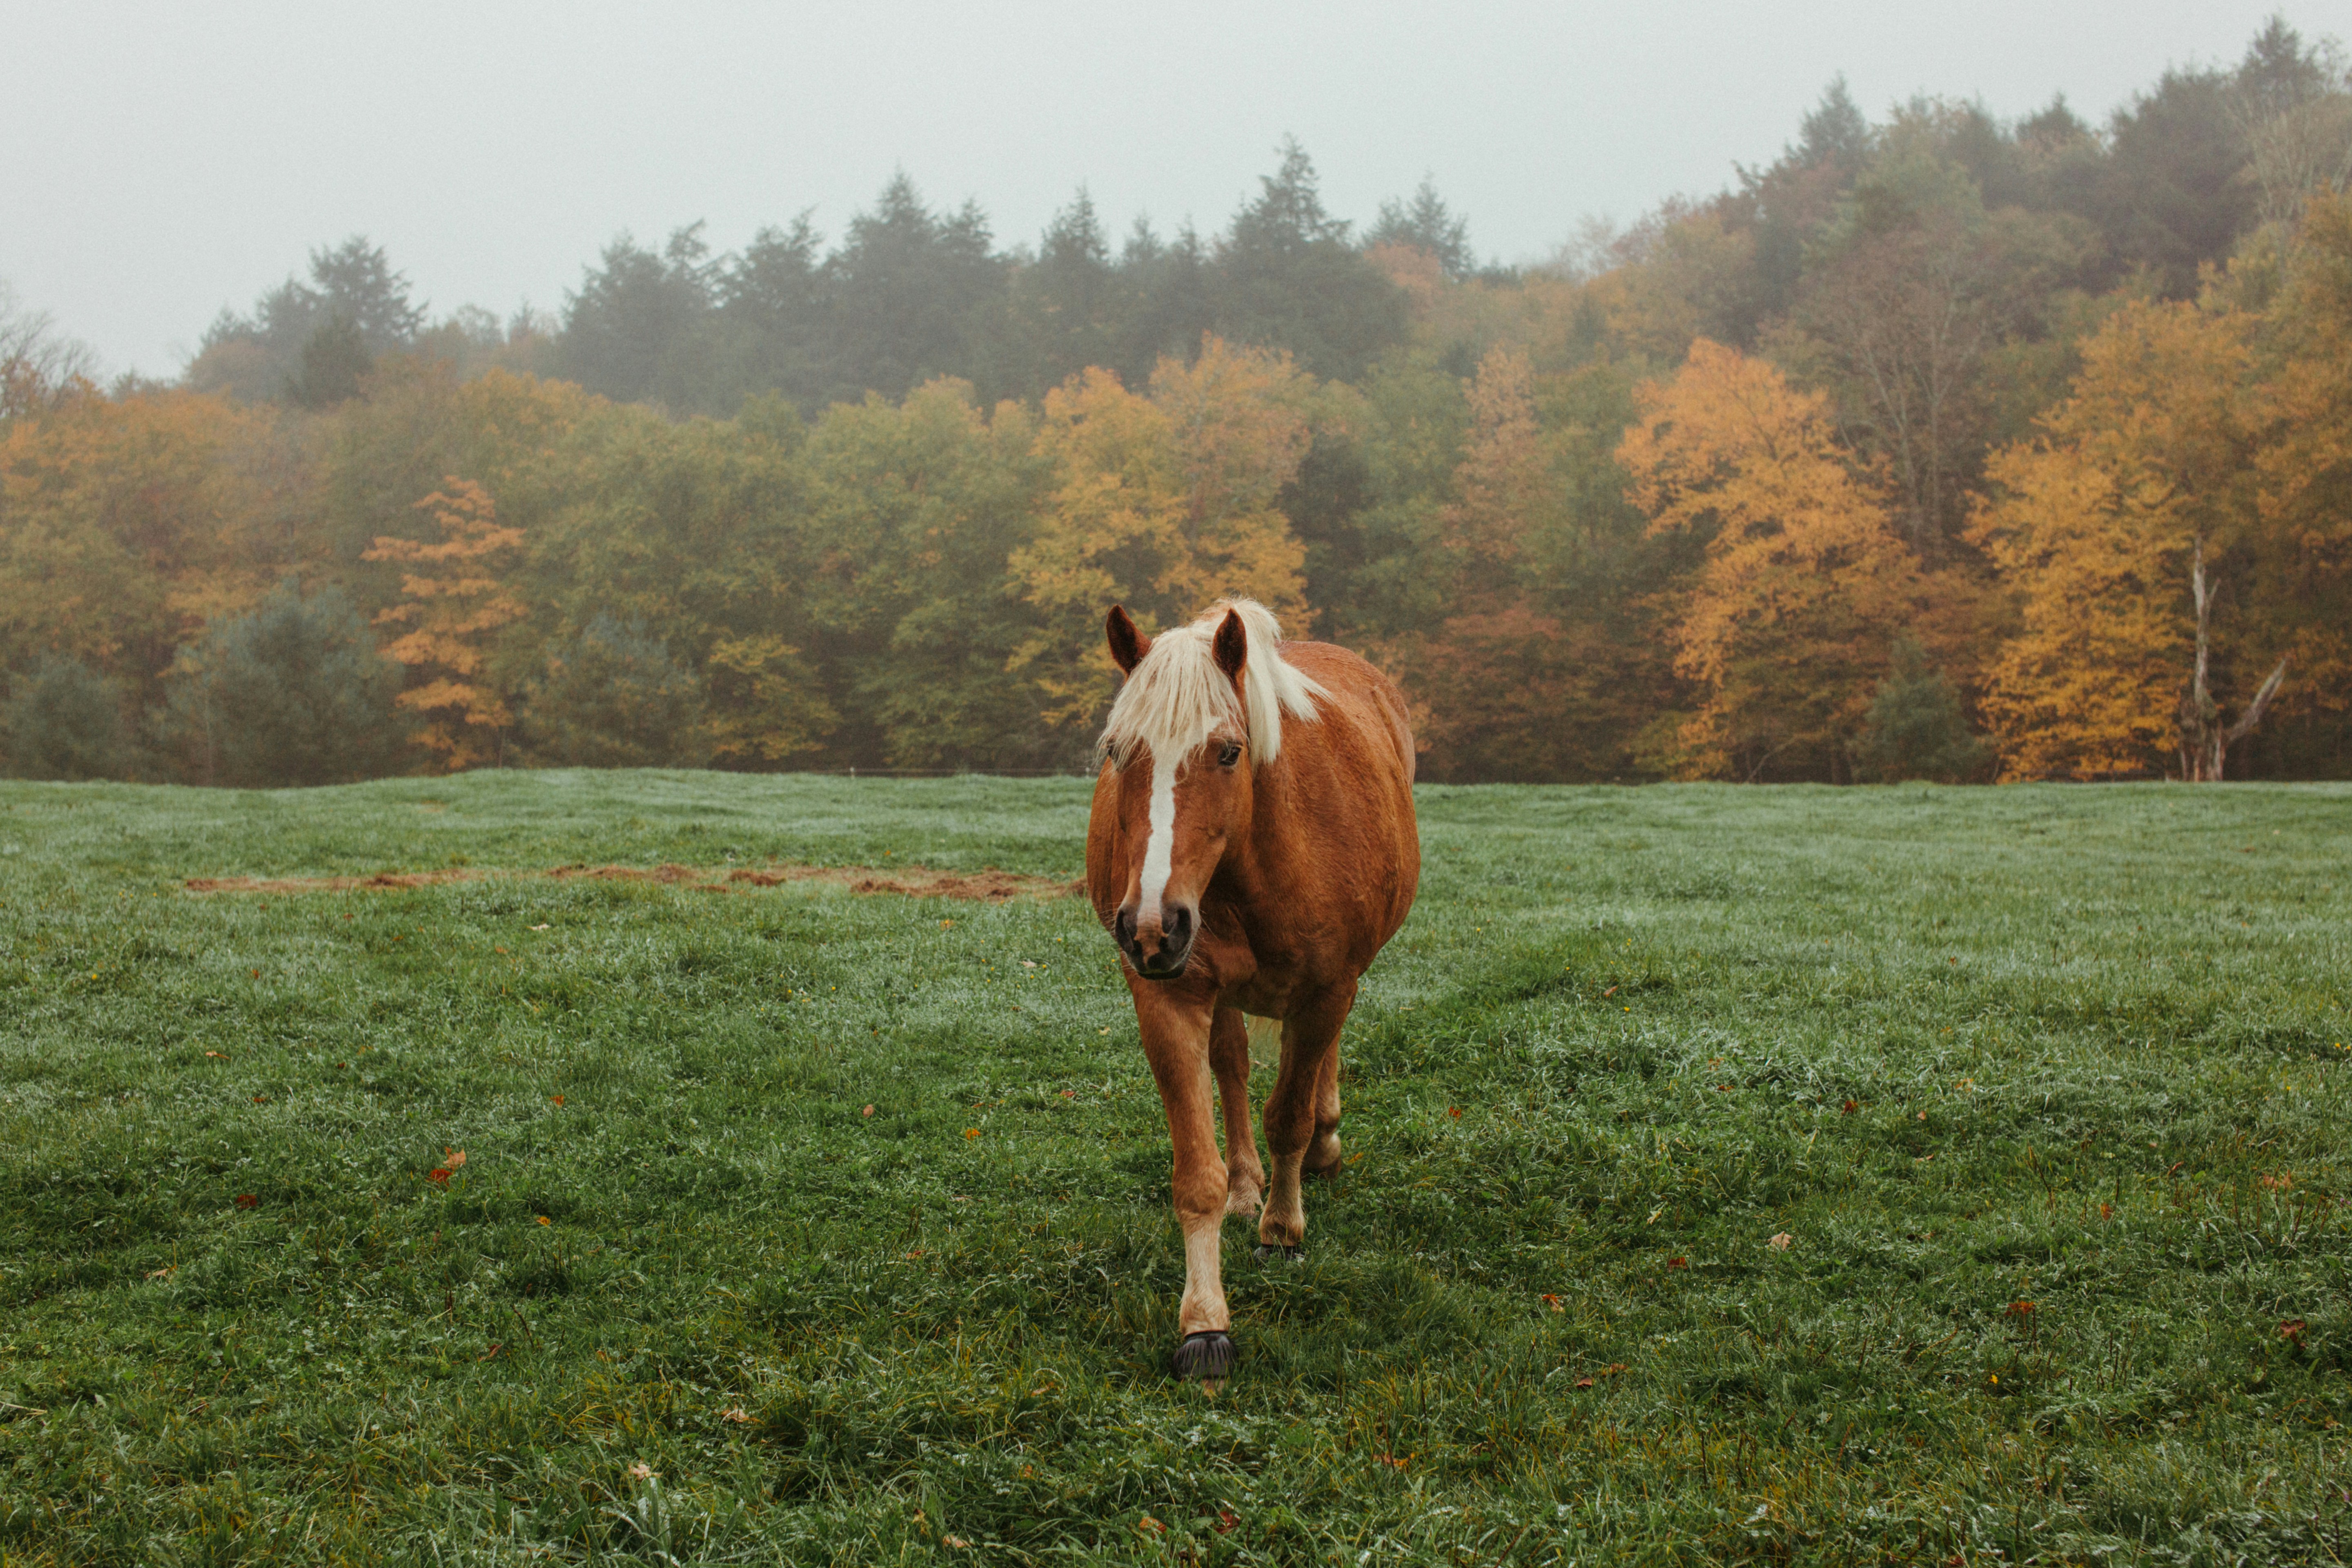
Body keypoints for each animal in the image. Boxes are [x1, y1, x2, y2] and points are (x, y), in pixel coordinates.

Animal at [1085, 598, 1420, 1380]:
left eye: (1228, 752)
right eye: (1118, 751)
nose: (1151, 925)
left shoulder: (1327, 990)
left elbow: (1289, 1116)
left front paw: (1283, 1233)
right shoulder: (1168, 996)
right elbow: (1196, 1172)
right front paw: (1205, 1321)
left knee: (1316, 1069)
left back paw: (1322, 1149)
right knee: (1233, 1068)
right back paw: (1246, 1185)